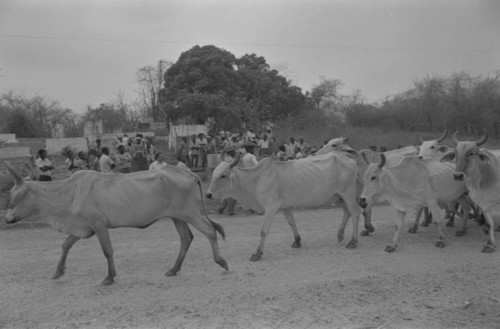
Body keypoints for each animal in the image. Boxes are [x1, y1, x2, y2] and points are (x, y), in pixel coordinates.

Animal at [4, 163, 229, 286]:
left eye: (17, 197)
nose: (7, 219)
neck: (71, 191)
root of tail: (190, 173)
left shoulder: (99, 225)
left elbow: (107, 250)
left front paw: (109, 277)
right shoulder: (85, 226)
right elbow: (66, 244)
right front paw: (58, 271)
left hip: (190, 213)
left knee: (210, 231)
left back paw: (221, 261)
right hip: (178, 217)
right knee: (186, 239)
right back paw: (173, 269)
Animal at [205, 151, 362, 262]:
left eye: (223, 175)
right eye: (213, 173)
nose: (208, 194)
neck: (256, 180)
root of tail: (345, 155)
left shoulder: (271, 207)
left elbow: (263, 231)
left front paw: (257, 253)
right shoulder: (284, 207)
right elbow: (291, 222)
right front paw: (297, 241)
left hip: (347, 194)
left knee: (355, 212)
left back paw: (353, 241)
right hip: (338, 197)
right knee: (347, 212)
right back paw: (340, 234)